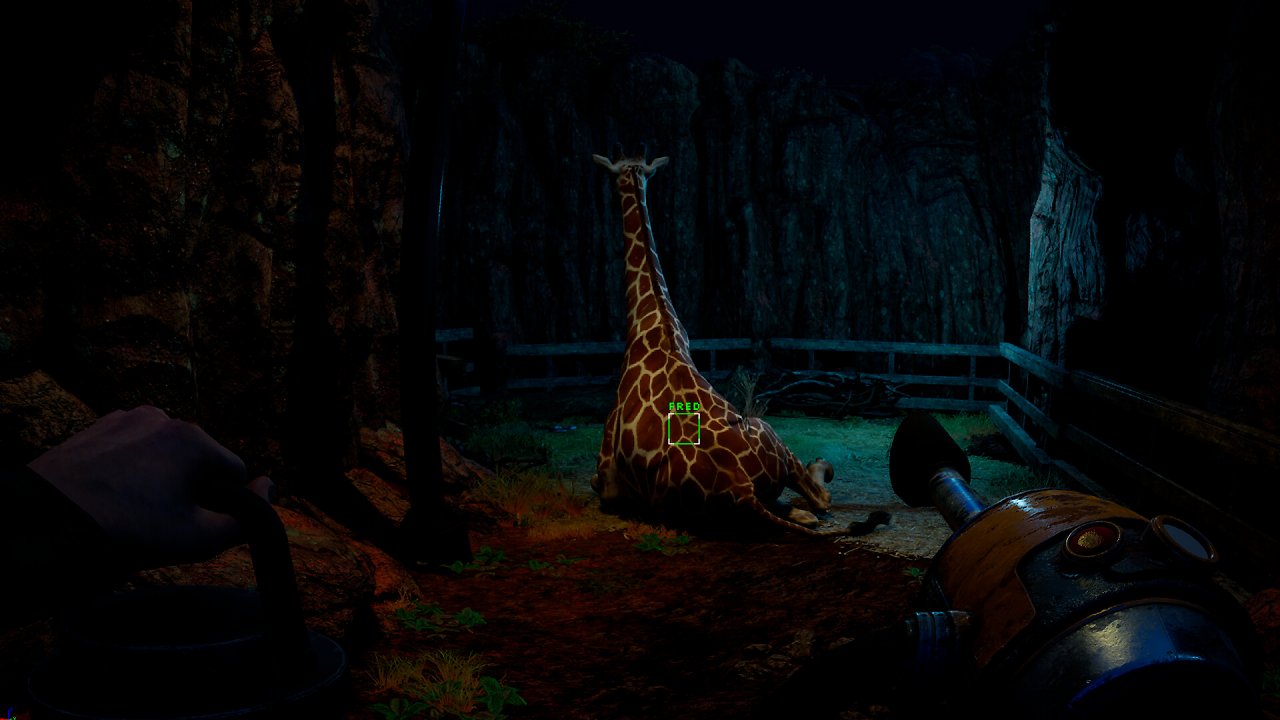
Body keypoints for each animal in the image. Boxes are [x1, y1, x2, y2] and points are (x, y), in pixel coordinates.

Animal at [591, 146, 887, 537]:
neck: (652, 326)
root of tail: (740, 487)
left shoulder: (608, 474)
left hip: (764, 434)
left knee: (817, 500)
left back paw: (823, 464)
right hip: (766, 454)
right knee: (808, 508)